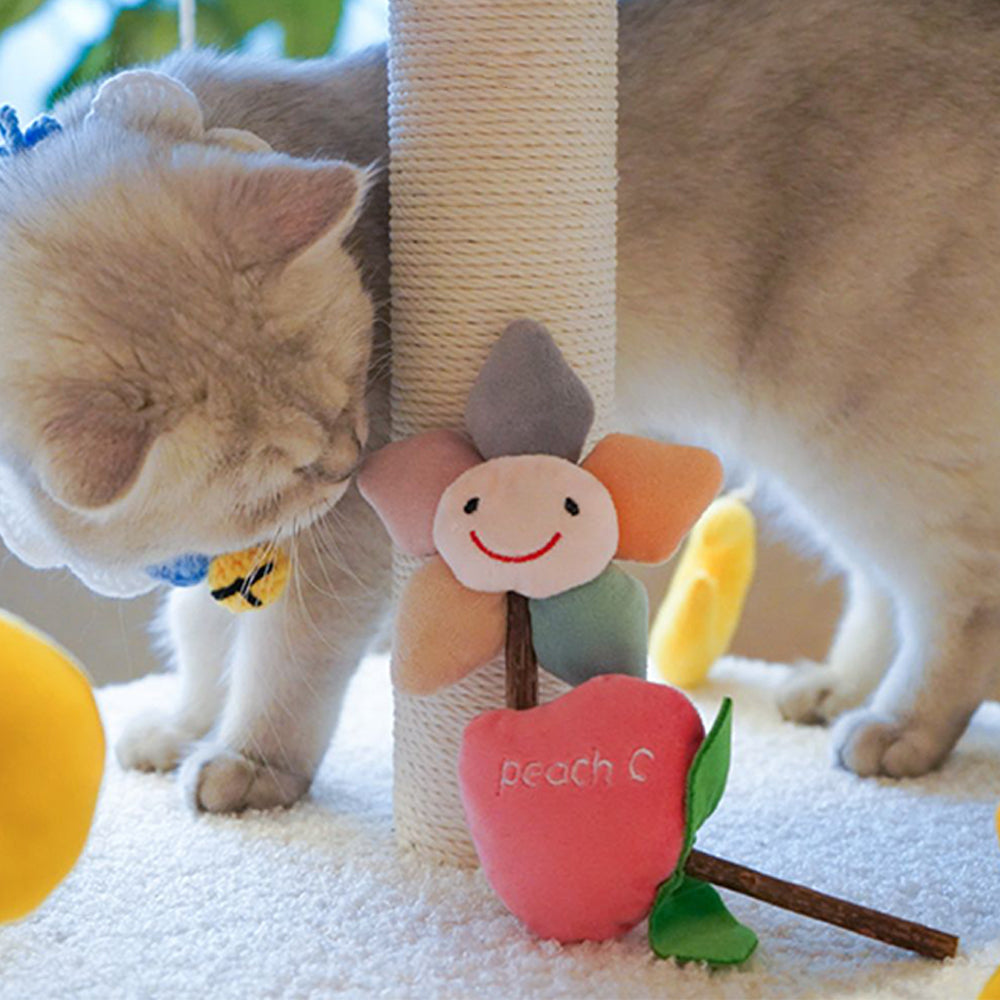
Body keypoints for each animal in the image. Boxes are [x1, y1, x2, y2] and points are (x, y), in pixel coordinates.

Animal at [2, 0, 999, 814]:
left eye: (353, 380)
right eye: (285, 471)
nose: (356, 460)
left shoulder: (334, 555)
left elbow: (281, 670)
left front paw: (248, 765)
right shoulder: (231, 554)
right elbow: (203, 641)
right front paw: (180, 726)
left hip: (845, 424)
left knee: (954, 592)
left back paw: (900, 726)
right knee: (885, 582)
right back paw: (837, 687)